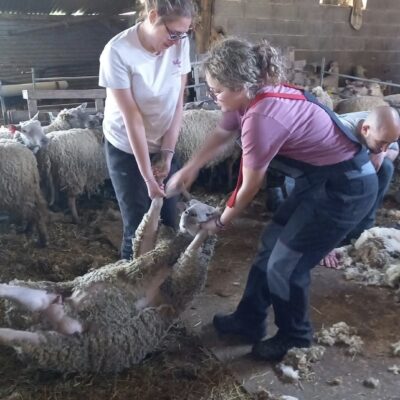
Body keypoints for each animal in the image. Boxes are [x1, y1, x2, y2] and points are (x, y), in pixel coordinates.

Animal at [0, 198, 218, 373]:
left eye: (209, 212)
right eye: (189, 205)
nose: (189, 214)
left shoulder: (180, 289)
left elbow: (187, 257)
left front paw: (206, 230)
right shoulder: (142, 255)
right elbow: (145, 234)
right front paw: (158, 188)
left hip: (59, 345)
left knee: (31, 328)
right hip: (51, 300)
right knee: (35, 301)